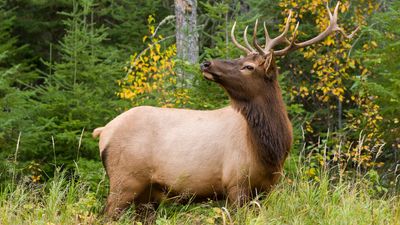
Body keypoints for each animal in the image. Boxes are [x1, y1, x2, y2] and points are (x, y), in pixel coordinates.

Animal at [93, 2, 356, 218]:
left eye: (248, 66)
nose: (206, 63)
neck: (270, 150)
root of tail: (104, 130)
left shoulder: (268, 189)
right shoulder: (235, 183)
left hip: (149, 193)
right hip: (124, 180)